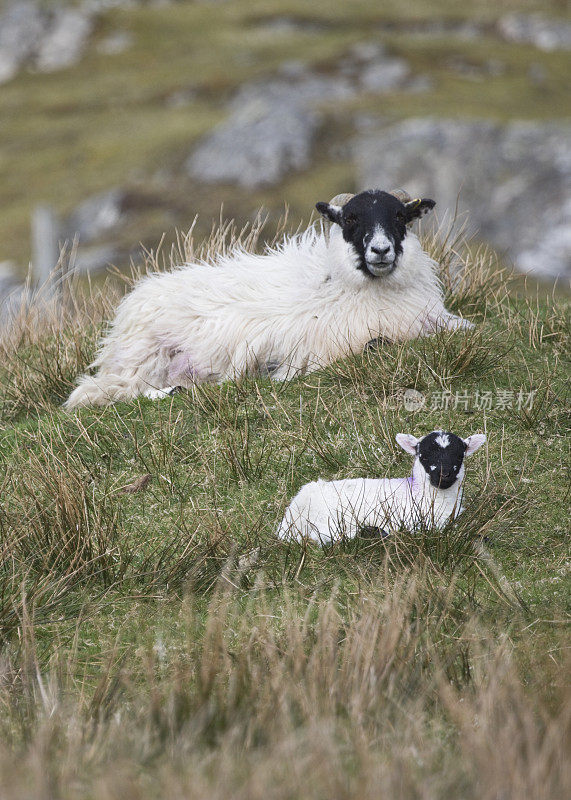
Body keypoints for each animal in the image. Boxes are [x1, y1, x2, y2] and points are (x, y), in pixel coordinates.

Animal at [63, 191, 474, 410]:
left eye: (401, 216)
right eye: (351, 219)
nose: (381, 250)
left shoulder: (439, 319)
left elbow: (464, 330)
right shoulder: (325, 349)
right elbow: (376, 345)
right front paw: (277, 374)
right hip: (143, 359)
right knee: (107, 392)